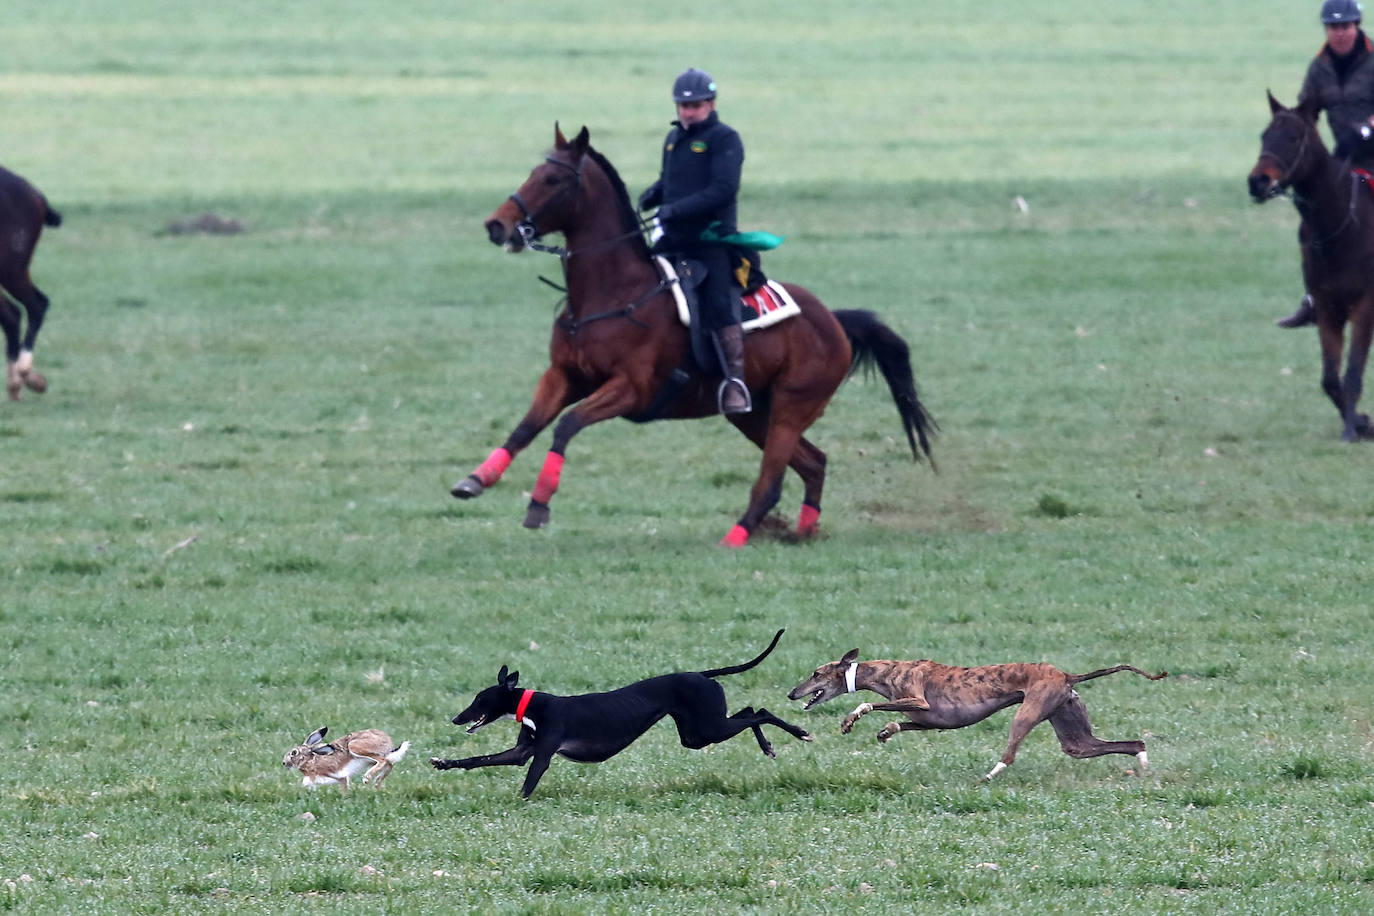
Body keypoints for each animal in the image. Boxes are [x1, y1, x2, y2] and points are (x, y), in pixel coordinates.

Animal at [450, 125, 934, 549]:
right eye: (532, 172)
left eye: (552, 179)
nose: (497, 225)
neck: (614, 290)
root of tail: (833, 321)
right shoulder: (564, 376)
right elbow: (527, 426)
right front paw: (476, 479)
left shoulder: (630, 389)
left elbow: (566, 425)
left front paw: (539, 504)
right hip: (754, 415)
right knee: (814, 464)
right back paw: (803, 533)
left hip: (790, 409)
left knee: (771, 480)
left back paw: (736, 538)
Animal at [1247, 91, 1374, 442]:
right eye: (1264, 135)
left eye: (1293, 137)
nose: (1257, 182)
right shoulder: (1328, 306)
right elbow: (1330, 379)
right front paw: (1360, 422)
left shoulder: (1364, 305)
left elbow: (1352, 374)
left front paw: (1352, 430)